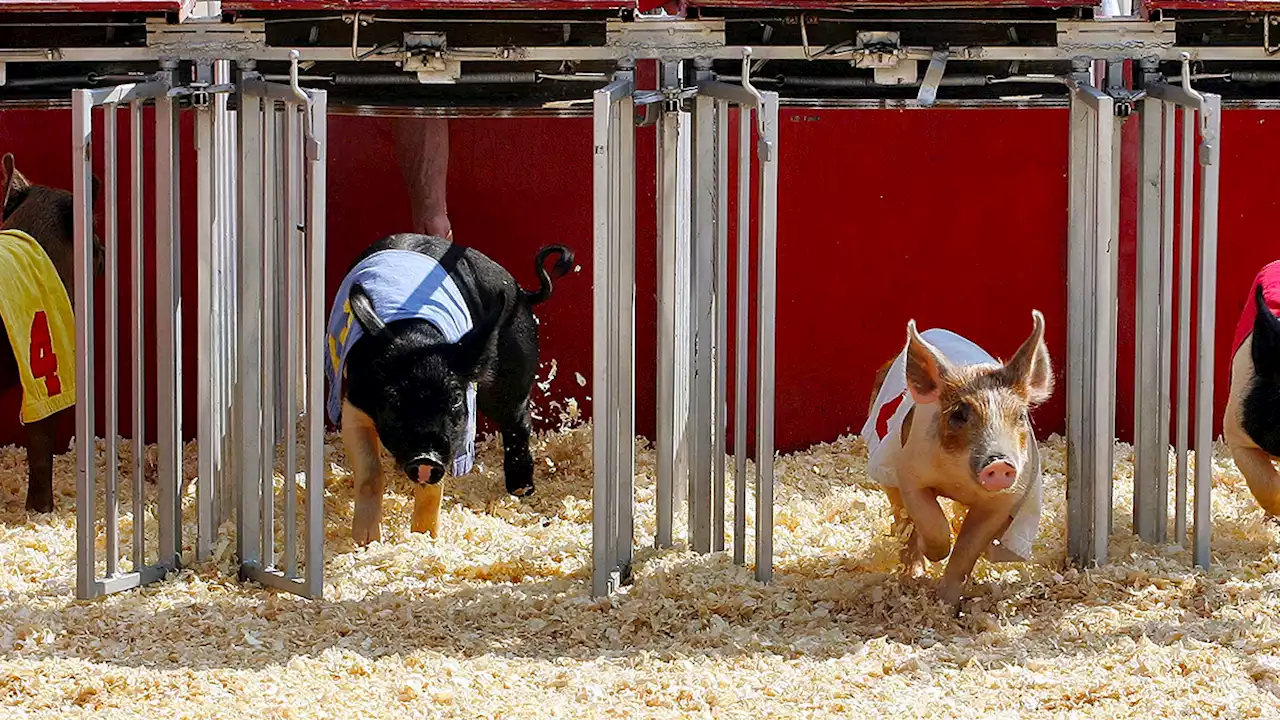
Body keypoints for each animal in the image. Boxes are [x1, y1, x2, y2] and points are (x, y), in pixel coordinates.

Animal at [865, 308, 1054, 604]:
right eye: (958, 415)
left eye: (1021, 416)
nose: (999, 464)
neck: (959, 483)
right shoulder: (910, 473)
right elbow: (931, 523)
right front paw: (933, 554)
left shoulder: (1003, 499)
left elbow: (967, 549)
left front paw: (947, 603)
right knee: (901, 518)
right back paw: (913, 574)